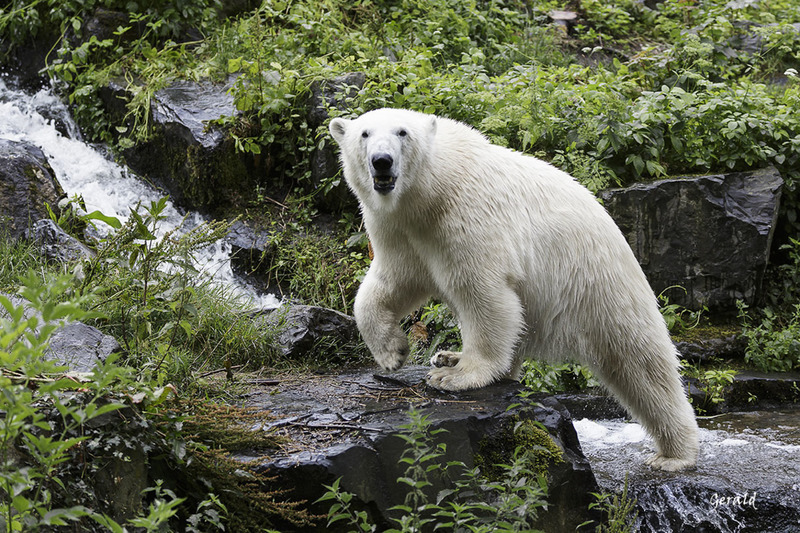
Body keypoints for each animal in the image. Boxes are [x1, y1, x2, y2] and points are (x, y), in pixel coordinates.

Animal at [328, 108, 699, 471]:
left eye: (402, 132)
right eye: (364, 133)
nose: (382, 161)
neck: (429, 192)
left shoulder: (465, 214)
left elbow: (484, 292)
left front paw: (456, 377)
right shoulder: (400, 229)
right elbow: (392, 282)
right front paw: (393, 353)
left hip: (595, 283)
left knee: (640, 363)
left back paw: (673, 454)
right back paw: (449, 355)